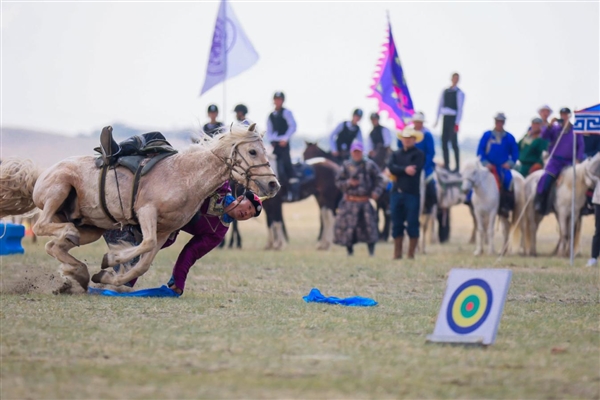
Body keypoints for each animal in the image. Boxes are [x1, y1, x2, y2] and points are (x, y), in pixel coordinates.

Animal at [0, 123, 278, 292]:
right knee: (42, 226)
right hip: (59, 189)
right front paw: (111, 260)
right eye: (253, 151)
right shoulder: (146, 213)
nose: (273, 184)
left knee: (53, 245)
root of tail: (40, 176)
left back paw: (79, 274)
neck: (185, 175)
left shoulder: (166, 230)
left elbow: (144, 261)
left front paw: (108, 277)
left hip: (90, 227)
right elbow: (143, 245)